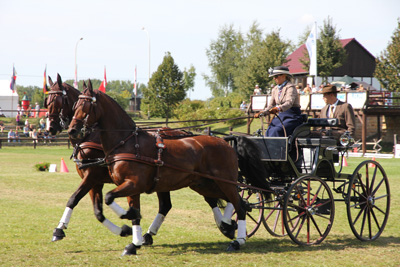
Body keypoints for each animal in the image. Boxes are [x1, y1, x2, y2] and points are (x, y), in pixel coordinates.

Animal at [68, 80, 272, 255]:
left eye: (85, 107)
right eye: (74, 106)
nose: (72, 130)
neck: (127, 143)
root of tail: (226, 141)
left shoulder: (132, 184)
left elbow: (110, 198)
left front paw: (128, 224)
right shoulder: (129, 187)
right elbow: (132, 214)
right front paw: (133, 242)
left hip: (226, 182)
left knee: (240, 205)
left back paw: (237, 240)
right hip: (205, 184)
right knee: (231, 202)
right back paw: (227, 226)